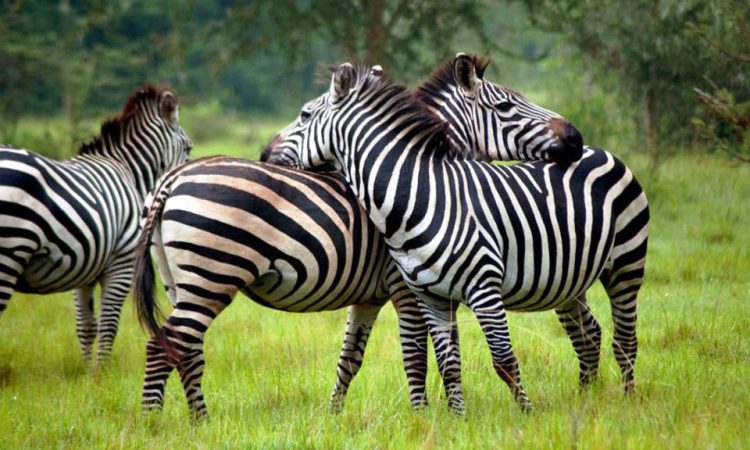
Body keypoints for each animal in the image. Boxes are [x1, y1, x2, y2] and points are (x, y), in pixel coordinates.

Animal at [1, 86, 194, 364]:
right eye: (189, 149)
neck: (129, 171)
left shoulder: (86, 265)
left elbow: (87, 326)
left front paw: (88, 370)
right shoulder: (121, 264)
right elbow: (108, 325)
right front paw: (101, 370)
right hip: (10, 251)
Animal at [268, 62, 648, 414]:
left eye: (304, 114)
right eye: (505, 106)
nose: (574, 138)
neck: (419, 192)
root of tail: (603, 151)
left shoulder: (463, 289)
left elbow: (470, 358)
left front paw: (518, 415)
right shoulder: (422, 294)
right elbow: (436, 359)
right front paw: (448, 417)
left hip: (625, 264)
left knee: (623, 339)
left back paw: (625, 400)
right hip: (569, 280)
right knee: (589, 334)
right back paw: (587, 398)